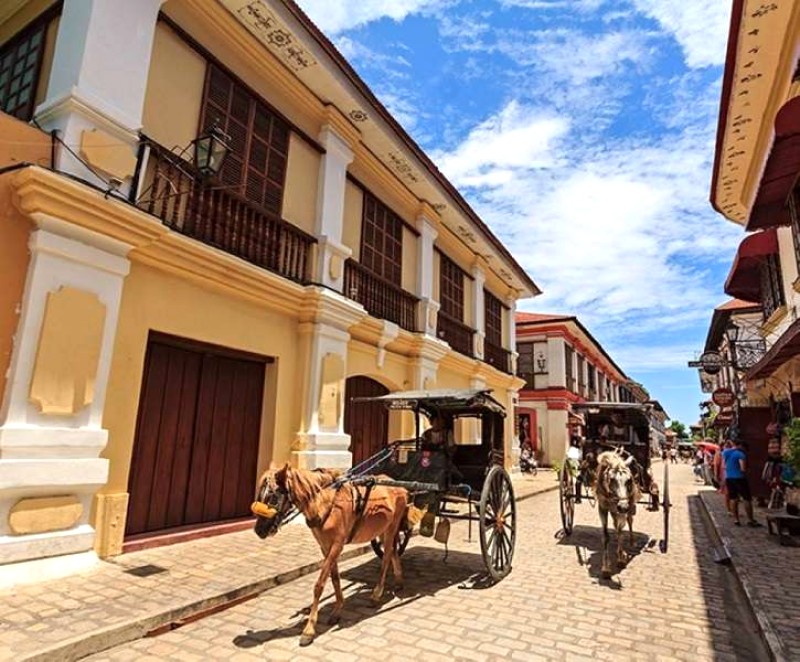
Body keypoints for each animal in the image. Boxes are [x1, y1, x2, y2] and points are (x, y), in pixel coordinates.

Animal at [253, 466, 410, 648]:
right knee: (392, 551)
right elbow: (334, 578)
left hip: (392, 526)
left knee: (386, 558)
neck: (325, 504)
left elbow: (319, 585)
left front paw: (308, 630)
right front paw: (337, 610)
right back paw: (398, 581)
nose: (258, 530)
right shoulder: (325, 547)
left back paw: (377, 594)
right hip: (383, 529)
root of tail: (399, 485)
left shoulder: (337, 545)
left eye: (272, 497)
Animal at [596, 452, 640, 580]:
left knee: (629, 522)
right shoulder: (603, 507)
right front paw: (606, 568)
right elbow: (606, 536)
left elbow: (621, 530)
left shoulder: (624, 508)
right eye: (611, 479)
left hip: (629, 505)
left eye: (629, 480)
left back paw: (631, 543)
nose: (623, 506)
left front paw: (621, 559)